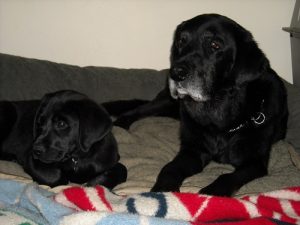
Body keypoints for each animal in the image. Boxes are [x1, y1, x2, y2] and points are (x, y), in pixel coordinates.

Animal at [108, 14, 288, 197]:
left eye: (215, 45)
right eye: (181, 41)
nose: (176, 73)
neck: (217, 118)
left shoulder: (255, 162)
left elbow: (228, 177)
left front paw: (210, 194)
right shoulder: (192, 151)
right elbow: (170, 167)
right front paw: (163, 189)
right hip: (168, 101)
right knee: (138, 110)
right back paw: (120, 124)